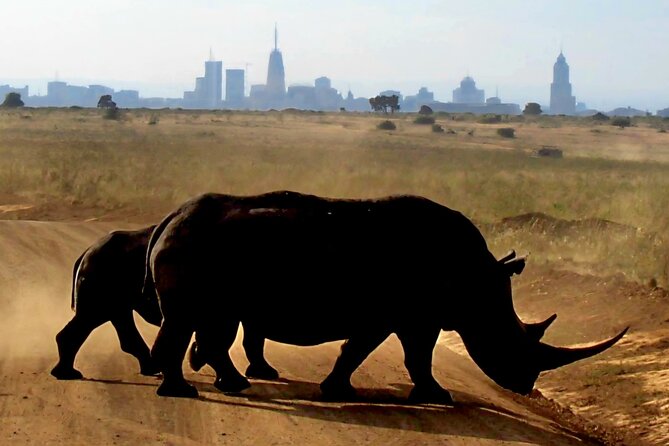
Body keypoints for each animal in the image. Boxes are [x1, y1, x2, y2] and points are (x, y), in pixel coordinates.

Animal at [145, 190, 627, 401]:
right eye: (509, 338)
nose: (526, 385)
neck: (476, 280)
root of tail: (169, 218)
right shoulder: (408, 314)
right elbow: (400, 354)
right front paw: (438, 398)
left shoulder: (408, 314)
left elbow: (379, 351)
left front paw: (339, 390)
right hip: (193, 248)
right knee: (189, 320)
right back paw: (182, 393)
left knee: (209, 321)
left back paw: (232, 385)